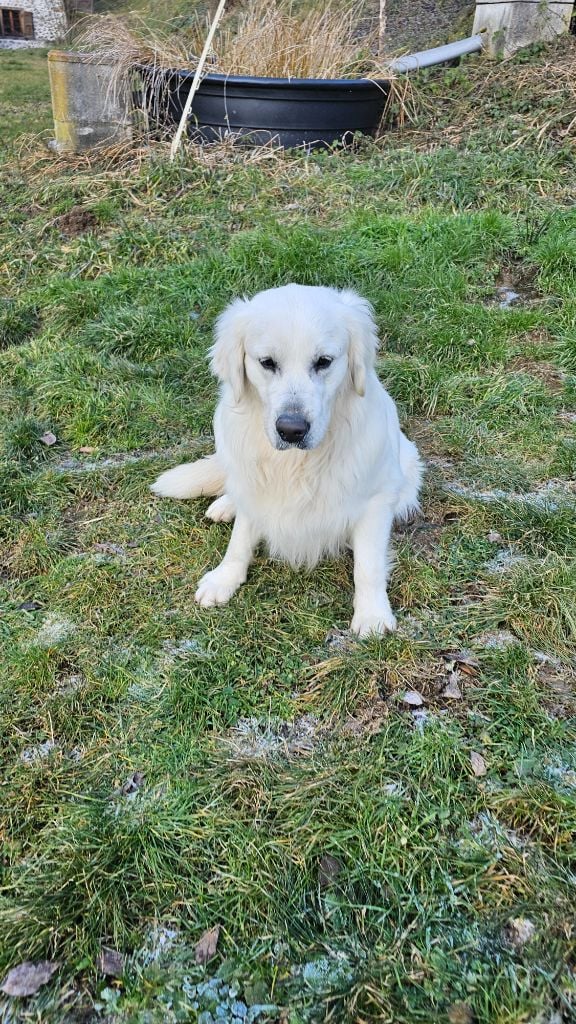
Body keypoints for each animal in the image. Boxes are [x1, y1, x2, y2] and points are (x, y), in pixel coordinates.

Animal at [151, 284, 422, 634]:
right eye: (267, 362)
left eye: (323, 362)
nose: (292, 430)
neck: (295, 464)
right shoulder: (254, 486)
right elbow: (240, 540)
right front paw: (225, 578)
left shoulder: (376, 499)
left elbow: (368, 566)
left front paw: (372, 615)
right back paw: (225, 504)